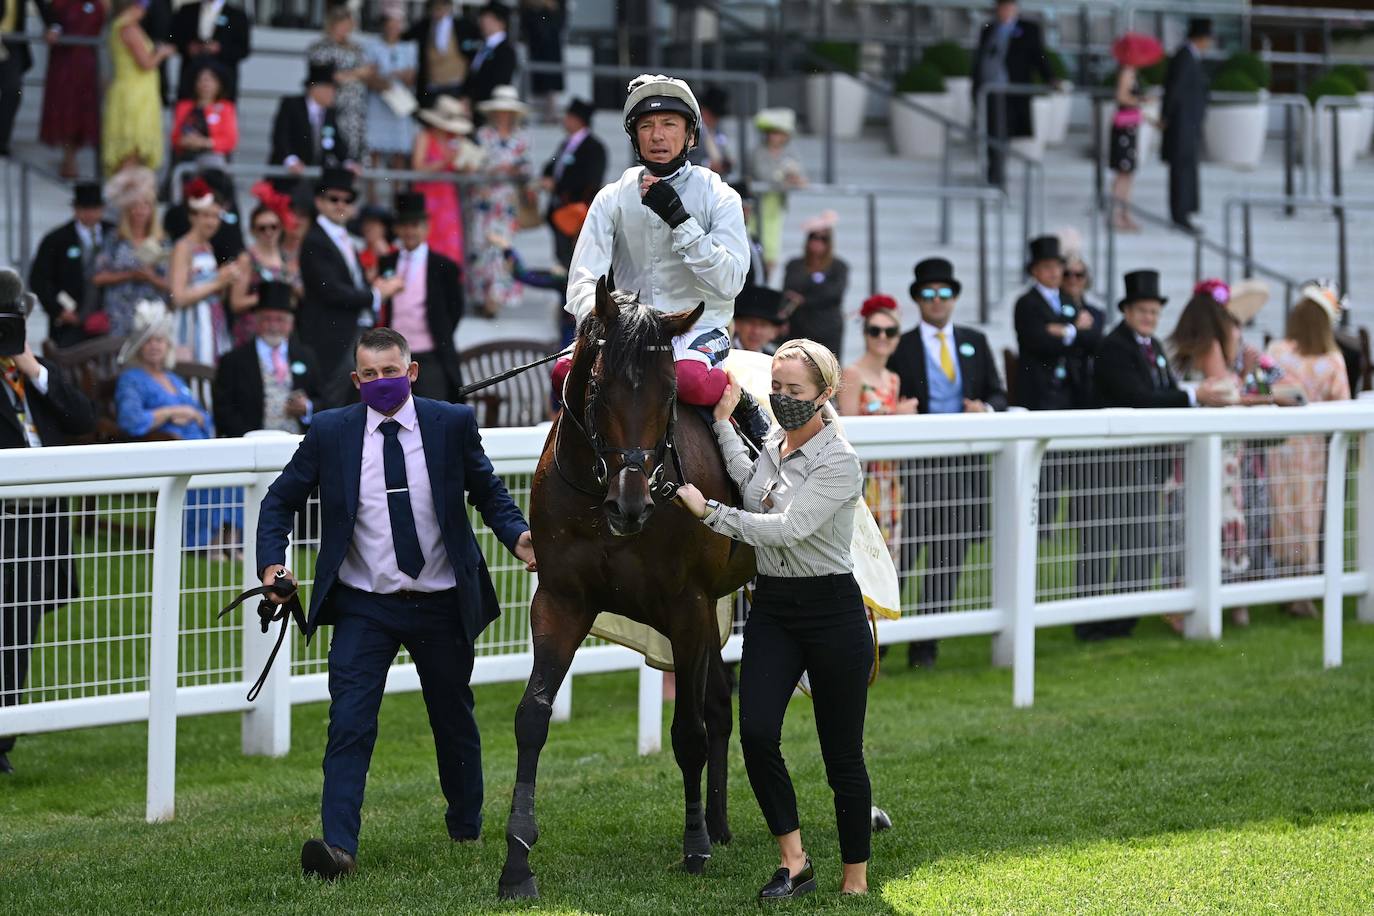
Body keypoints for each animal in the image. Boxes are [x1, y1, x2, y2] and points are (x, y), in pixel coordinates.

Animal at [497, 277, 752, 895]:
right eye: (597, 388)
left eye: (669, 395)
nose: (630, 506)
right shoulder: (561, 600)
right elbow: (532, 716)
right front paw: (517, 859)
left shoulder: (686, 605)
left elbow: (687, 730)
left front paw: (693, 847)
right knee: (721, 706)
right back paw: (720, 823)